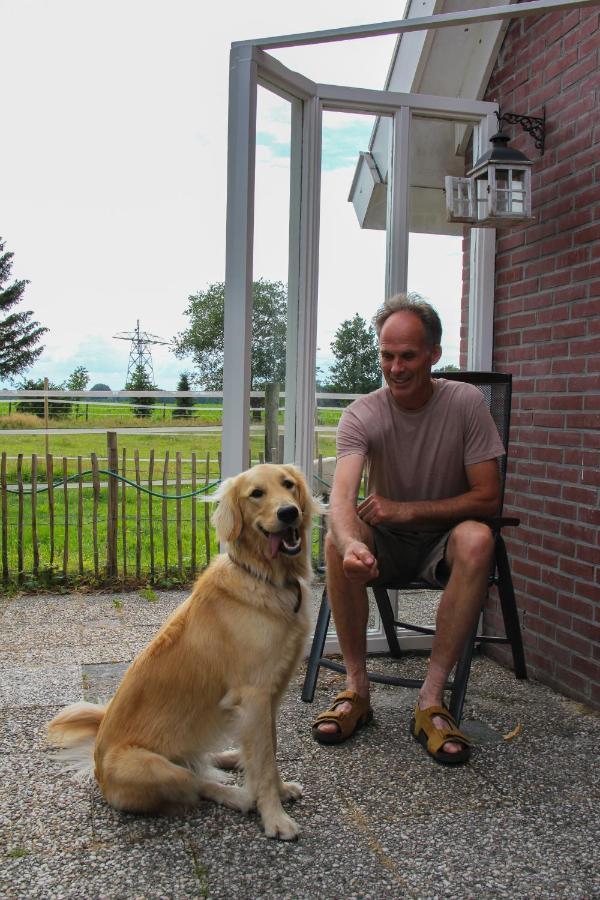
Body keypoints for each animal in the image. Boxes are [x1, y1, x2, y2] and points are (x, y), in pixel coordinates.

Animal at [48, 468, 318, 840]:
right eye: (257, 494)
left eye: (288, 485)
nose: (289, 512)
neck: (266, 577)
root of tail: (96, 763)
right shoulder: (254, 697)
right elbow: (263, 763)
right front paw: (274, 817)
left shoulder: (269, 697)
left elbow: (269, 752)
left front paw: (279, 790)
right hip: (150, 767)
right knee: (196, 781)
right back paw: (237, 795)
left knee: (204, 763)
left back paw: (230, 757)